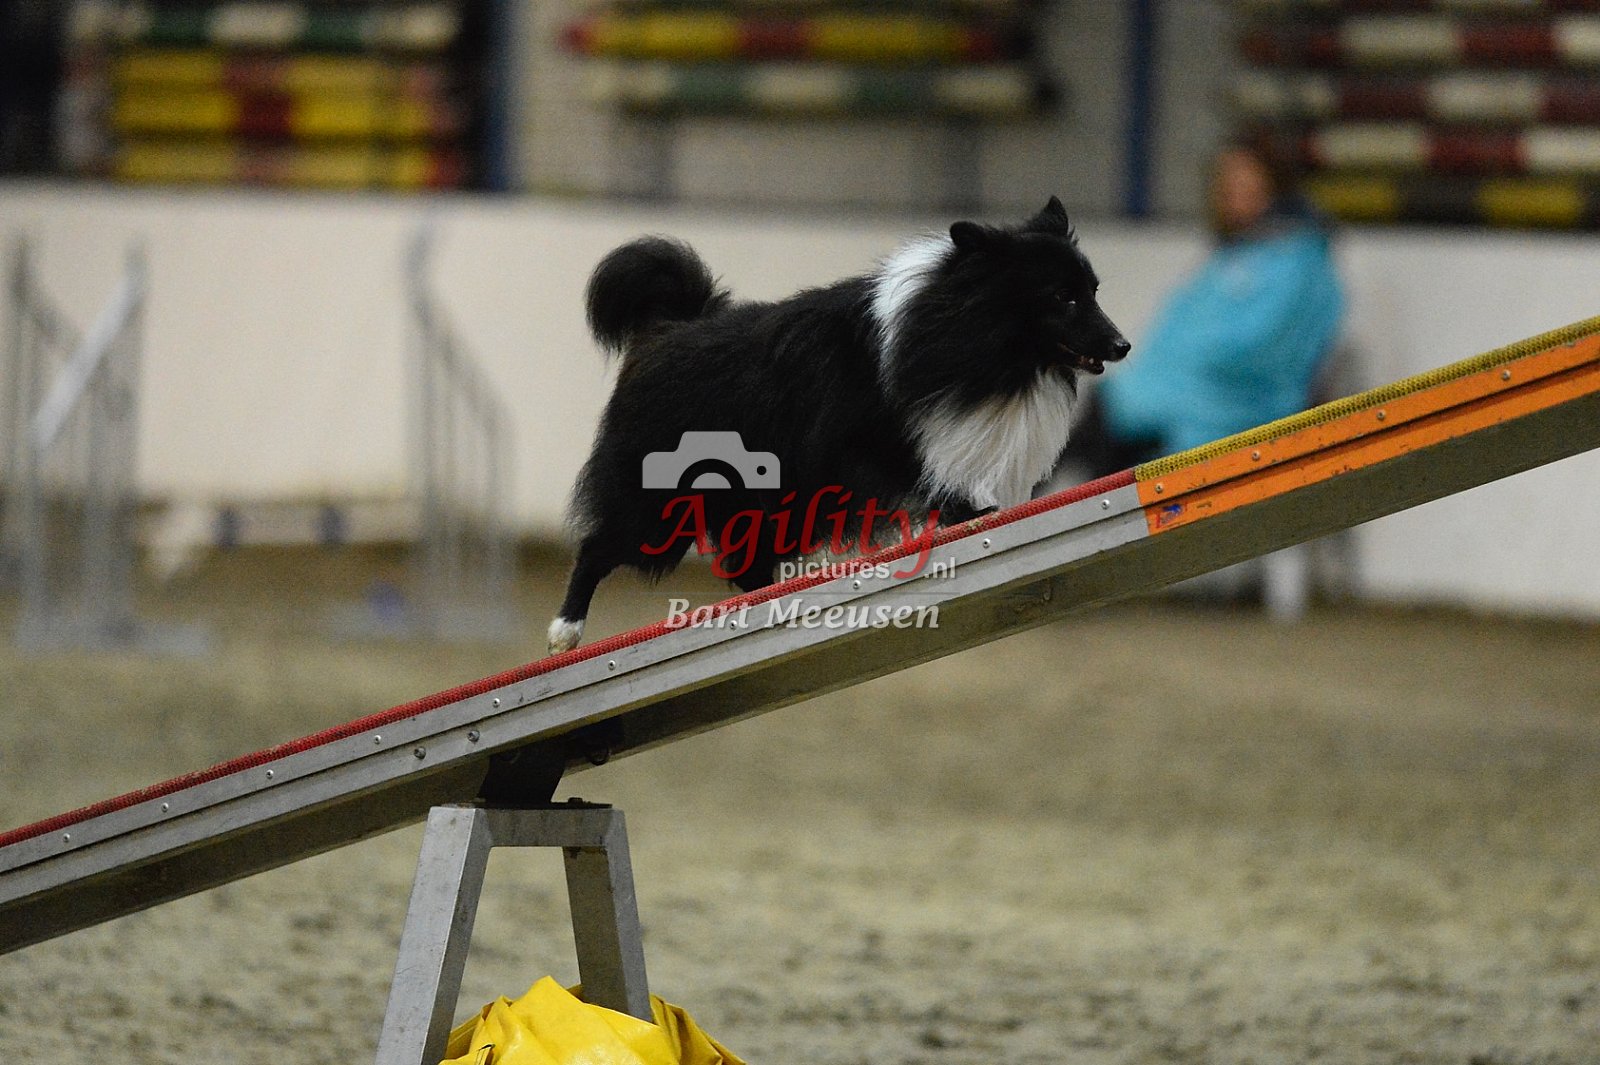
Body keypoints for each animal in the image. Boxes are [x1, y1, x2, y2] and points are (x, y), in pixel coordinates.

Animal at [548, 197, 1130, 654]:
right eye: (1063, 297)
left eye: (1094, 291)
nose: (1123, 345)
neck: (959, 330)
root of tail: (671, 327)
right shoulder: (866, 448)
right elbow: (928, 482)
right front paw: (967, 511)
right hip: (660, 509)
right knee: (598, 547)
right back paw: (564, 632)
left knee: (746, 568)